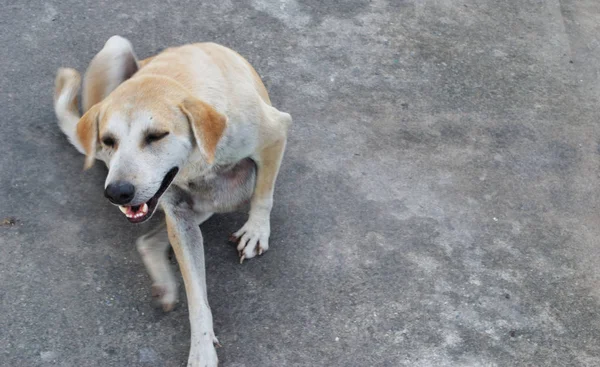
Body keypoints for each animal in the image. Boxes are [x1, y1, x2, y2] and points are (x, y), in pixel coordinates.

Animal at [52, 35, 292, 367]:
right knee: (149, 239)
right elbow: (197, 296)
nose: (117, 192)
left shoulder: (275, 133)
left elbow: (264, 195)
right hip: (115, 46)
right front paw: (202, 348)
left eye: (156, 136)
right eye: (109, 140)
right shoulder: (178, 214)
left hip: (236, 185)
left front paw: (257, 229)